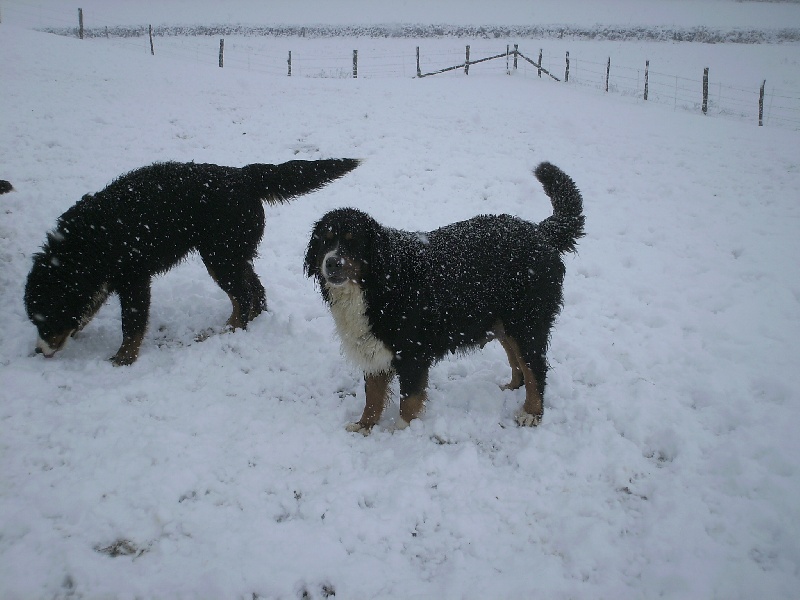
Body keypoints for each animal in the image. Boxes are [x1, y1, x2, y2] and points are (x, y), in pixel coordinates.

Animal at [25, 159, 358, 364]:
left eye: (47, 319)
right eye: (36, 321)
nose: (39, 350)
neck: (86, 243)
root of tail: (243, 175)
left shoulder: (134, 280)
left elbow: (131, 325)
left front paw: (123, 359)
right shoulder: (110, 278)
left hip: (220, 257)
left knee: (243, 296)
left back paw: (229, 330)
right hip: (231, 255)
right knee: (253, 291)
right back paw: (247, 321)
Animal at [304, 162, 584, 434]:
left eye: (353, 242)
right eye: (325, 241)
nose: (332, 263)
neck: (378, 284)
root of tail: (539, 232)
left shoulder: (412, 352)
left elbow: (409, 399)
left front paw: (401, 431)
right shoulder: (374, 349)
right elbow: (372, 396)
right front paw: (364, 426)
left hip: (527, 323)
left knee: (535, 368)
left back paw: (531, 412)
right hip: (504, 323)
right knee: (519, 364)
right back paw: (511, 388)